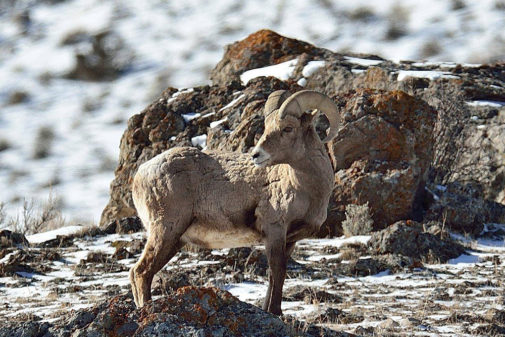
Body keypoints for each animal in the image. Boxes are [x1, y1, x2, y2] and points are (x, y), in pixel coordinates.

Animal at [131, 90, 338, 316]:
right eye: (267, 127)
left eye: (288, 128)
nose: (256, 155)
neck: (308, 189)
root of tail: (140, 174)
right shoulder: (275, 231)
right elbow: (278, 272)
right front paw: (276, 313)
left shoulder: (289, 240)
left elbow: (273, 276)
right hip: (166, 231)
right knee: (141, 272)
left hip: (174, 239)